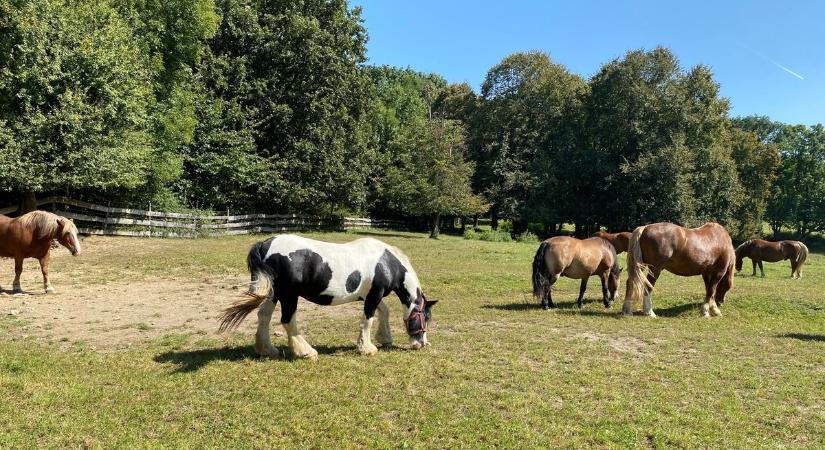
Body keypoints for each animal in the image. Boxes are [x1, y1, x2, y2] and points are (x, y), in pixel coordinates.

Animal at [219, 236, 438, 358]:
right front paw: (366, 348)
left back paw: (267, 350)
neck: (387, 263)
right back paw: (306, 352)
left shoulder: (369, 296)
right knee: (288, 320)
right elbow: (367, 320)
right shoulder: (374, 295)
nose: (421, 344)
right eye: (425, 317)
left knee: (263, 315)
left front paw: (384, 339)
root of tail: (265, 244)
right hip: (289, 295)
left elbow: (384, 311)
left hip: (274, 294)